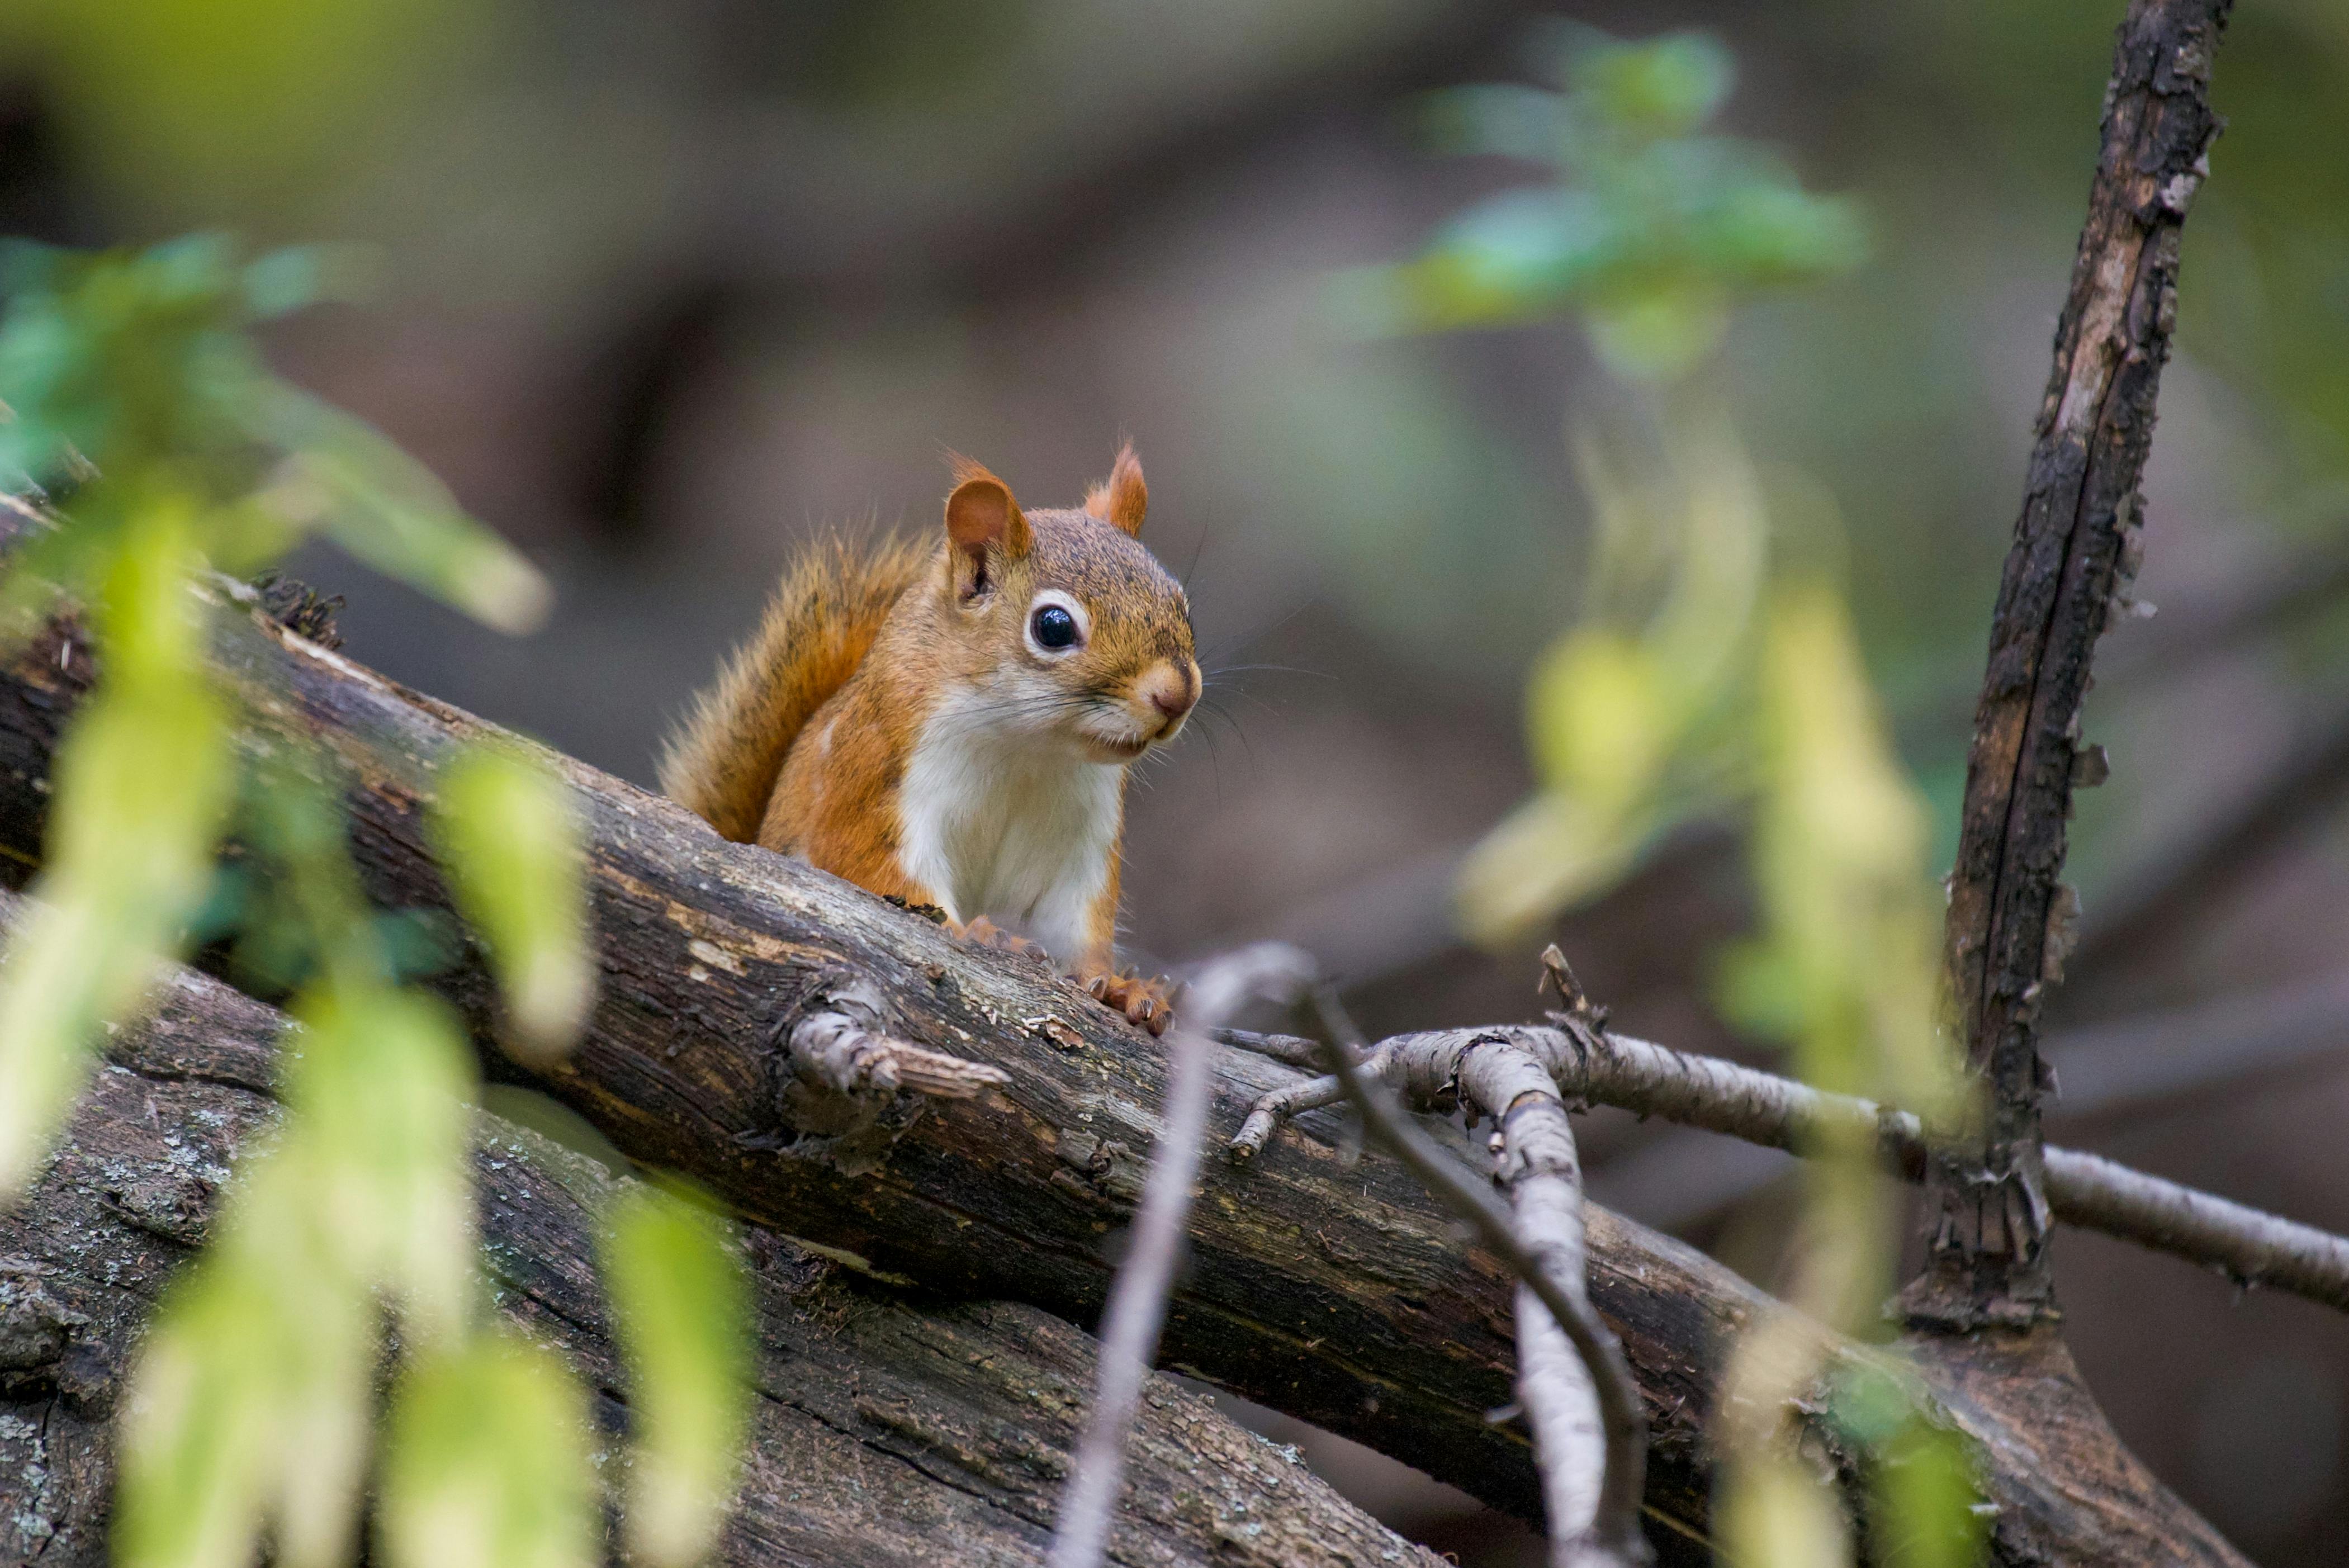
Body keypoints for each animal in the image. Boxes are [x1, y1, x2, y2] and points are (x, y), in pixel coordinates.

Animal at [671, 443, 1202, 1028]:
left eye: (1181, 603)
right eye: (1054, 627)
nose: (1177, 695)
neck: (1029, 751)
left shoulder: (1083, 837)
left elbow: (1077, 923)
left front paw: (1122, 989)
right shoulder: (874, 774)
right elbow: (882, 870)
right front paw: (981, 935)